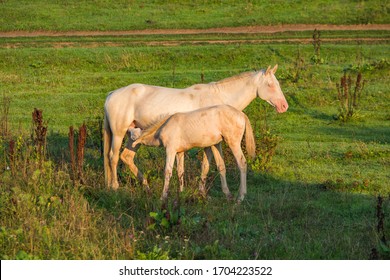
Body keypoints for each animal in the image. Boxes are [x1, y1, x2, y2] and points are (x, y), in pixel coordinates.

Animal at [103, 64, 286, 189]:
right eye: (270, 85)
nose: (284, 106)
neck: (219, 98)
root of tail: (111, 94)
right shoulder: (209, 143)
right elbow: (208, 165)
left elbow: (205, 166)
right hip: (119, 134)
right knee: (113, 157)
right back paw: (115, 186)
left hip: (134, 136)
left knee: (126, 157)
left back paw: (145, 185)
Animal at [128, 104, 256, 202]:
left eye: (130, 135)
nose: (129, 147)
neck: (163, 127)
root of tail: (242, 115)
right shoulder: (179, 152)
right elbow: (180, 171)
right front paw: (181, 192)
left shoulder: (170, 149)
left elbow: (168, 172)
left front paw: (163, 197)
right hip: (217, 144)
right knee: (221, 166)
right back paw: (229, 196)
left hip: (233, 141)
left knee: (242, 163)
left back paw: (240, 197)